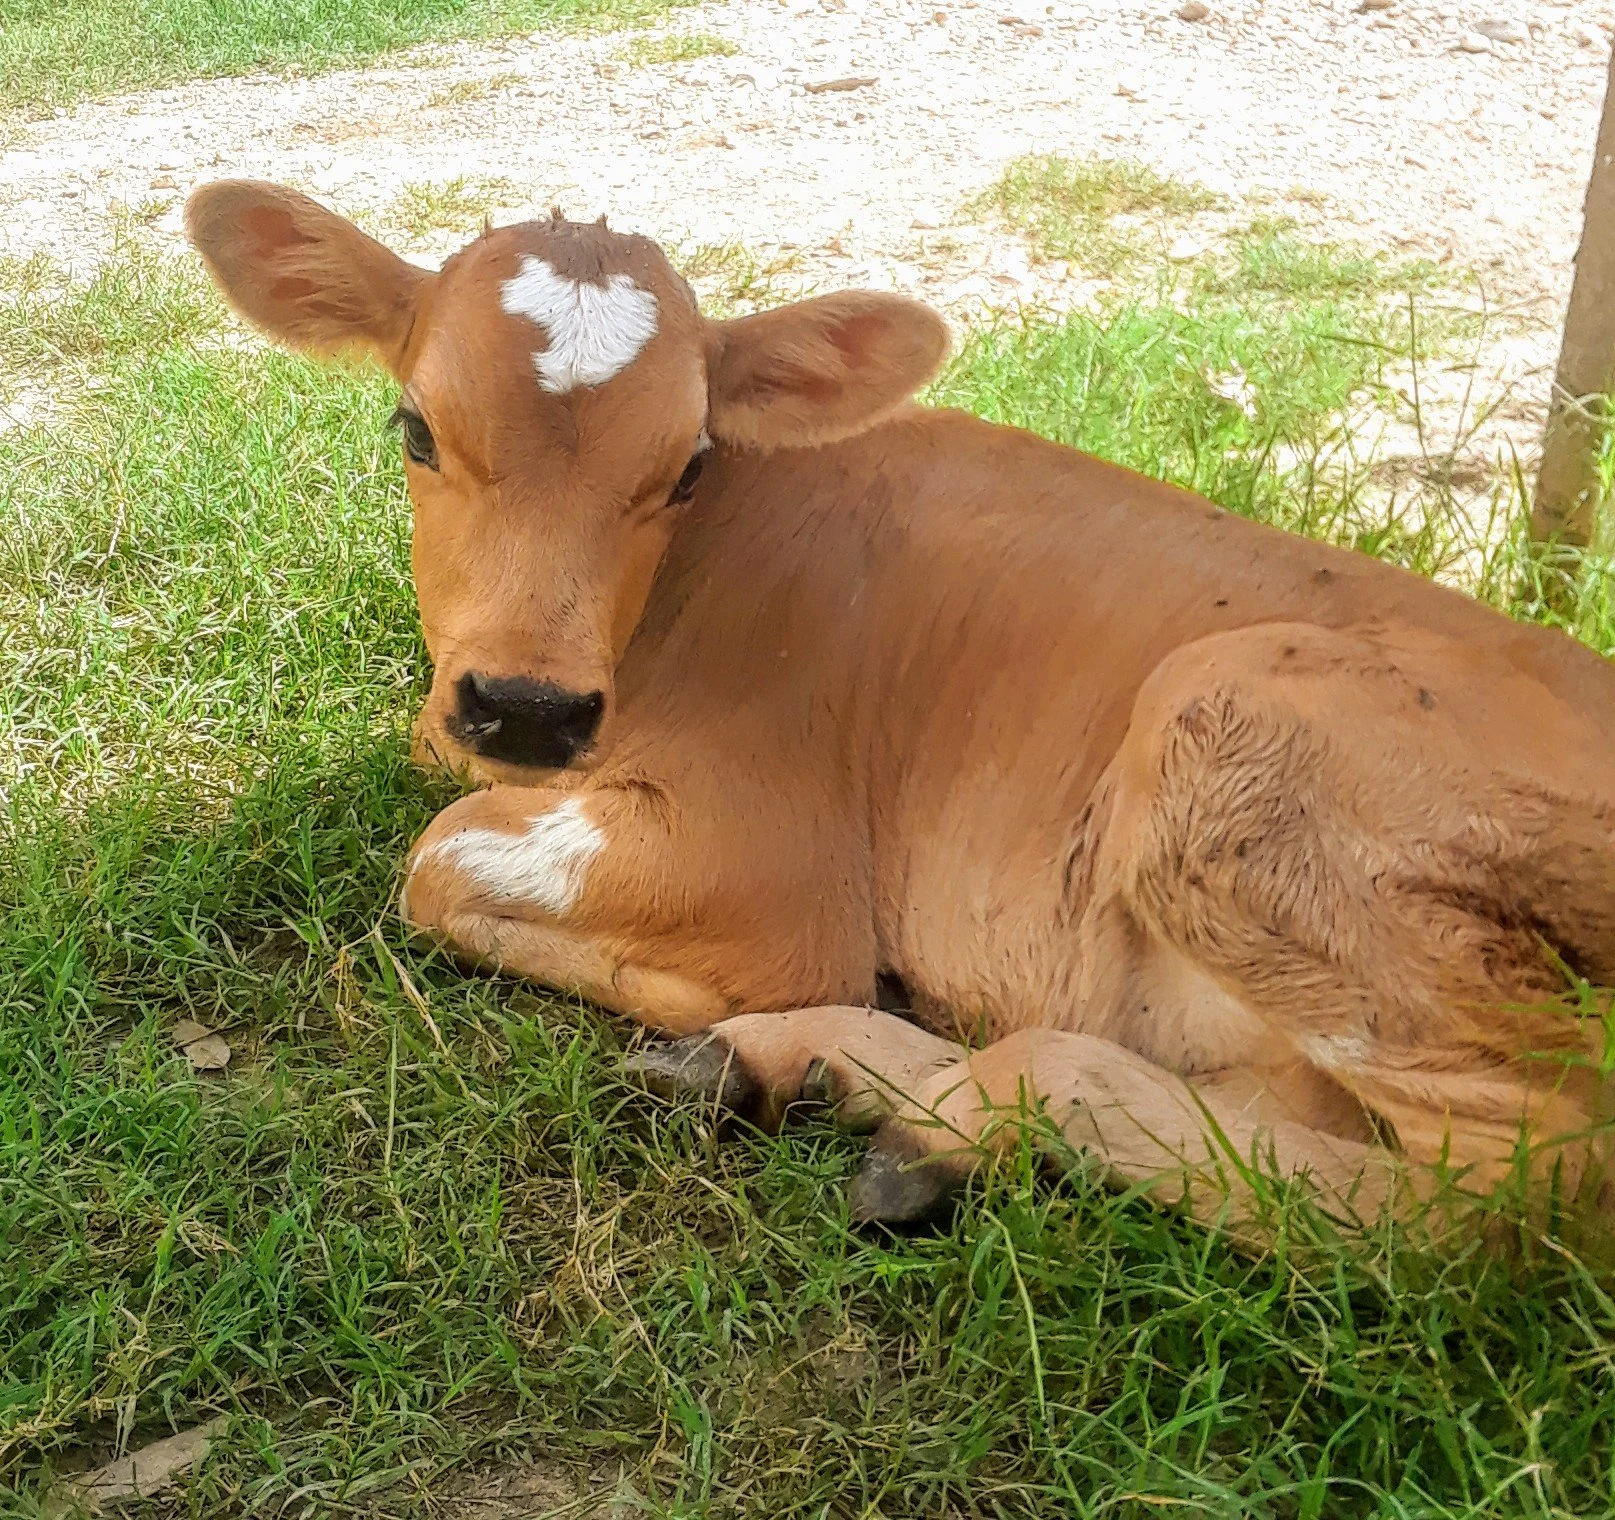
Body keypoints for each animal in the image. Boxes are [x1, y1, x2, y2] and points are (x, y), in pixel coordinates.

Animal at [185, 180, 1615, 1238]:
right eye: (414, 429)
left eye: (688, 466)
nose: (528, 709)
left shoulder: (772, 863)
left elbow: (433, 864)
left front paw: (692, 991)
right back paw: (813, 1075)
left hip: (1239, 745)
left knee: (1506, 1195)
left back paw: (939, 1106)